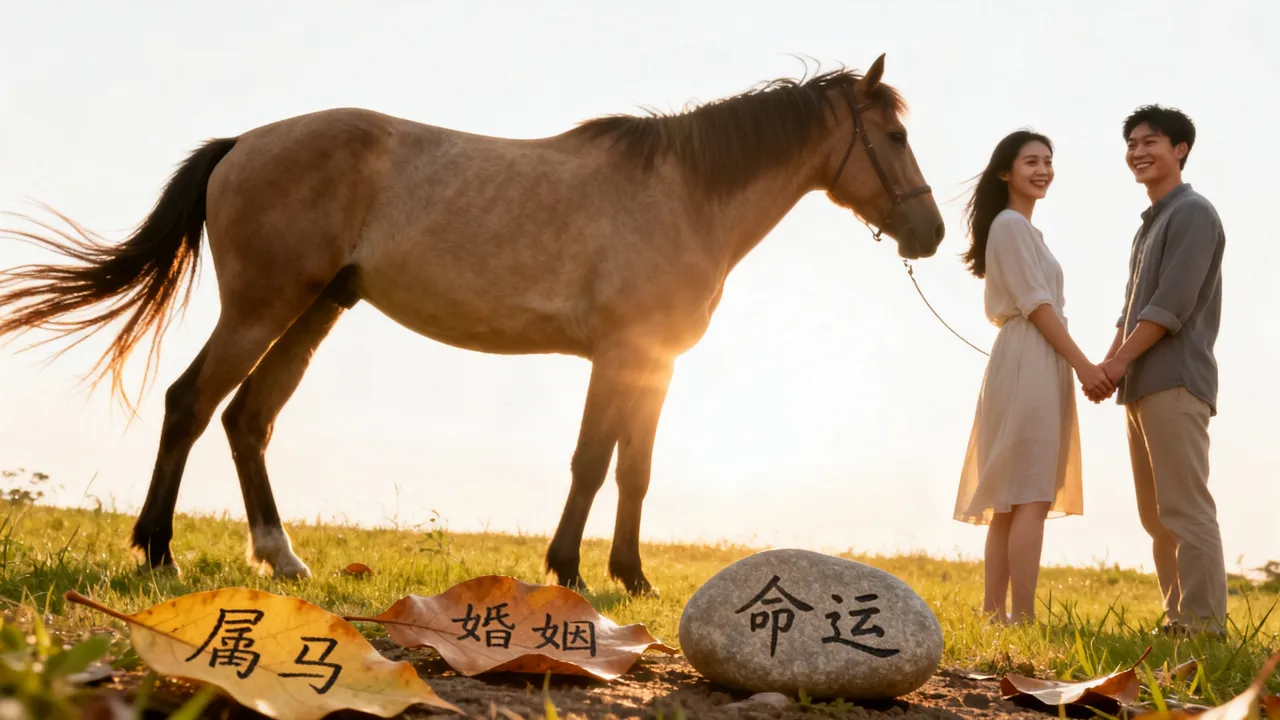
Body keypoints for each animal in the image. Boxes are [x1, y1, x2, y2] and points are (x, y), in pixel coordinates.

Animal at [0, 54, 943, 596]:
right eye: (894, 135)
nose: (930, 233)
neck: (683, 195)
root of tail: (242, 143)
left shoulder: (651, 365)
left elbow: (632, 471)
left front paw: (629, 577)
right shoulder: (626, 357)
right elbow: (595, 464)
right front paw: (571, 571)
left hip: (313, 311)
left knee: (248, 420)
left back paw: (282, 559)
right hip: (262, 307)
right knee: (192, 404)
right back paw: (158, 551)